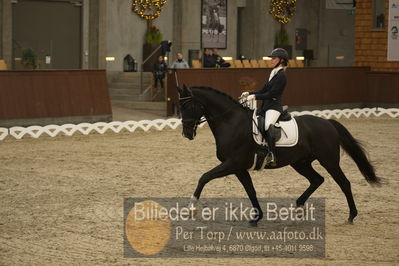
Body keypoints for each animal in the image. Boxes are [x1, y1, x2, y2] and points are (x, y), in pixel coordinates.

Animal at [178, 85, 382, 227]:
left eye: (187, 105)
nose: (187, 134)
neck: (231, 122)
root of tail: (328, 122)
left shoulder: (232, 163)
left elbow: (204, 177)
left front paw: (191, 207)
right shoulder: (239, 168)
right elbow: (250, 190)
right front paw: (256, 218)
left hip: (329, 161)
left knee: (344, 183)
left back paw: (351, 216)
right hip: (300, 163)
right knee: (317, 179)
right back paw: (298, 207)